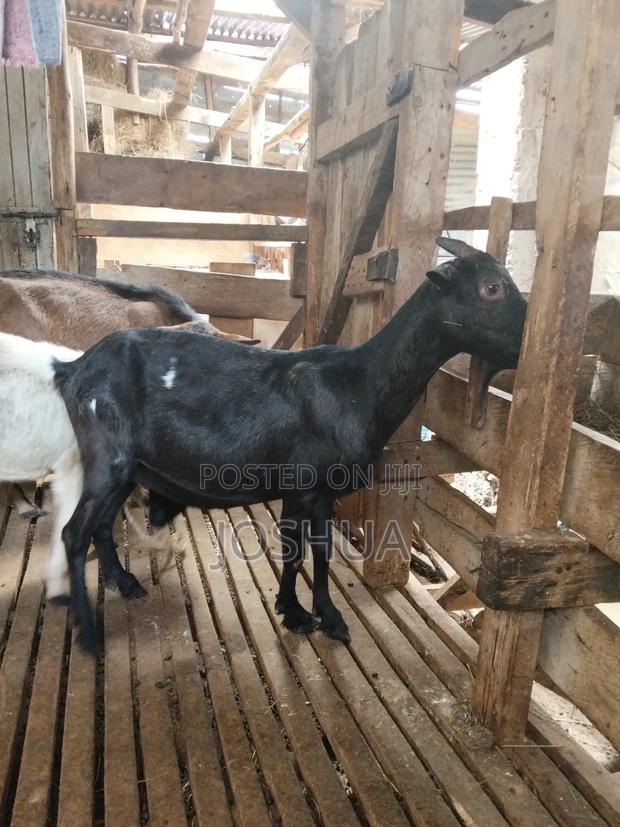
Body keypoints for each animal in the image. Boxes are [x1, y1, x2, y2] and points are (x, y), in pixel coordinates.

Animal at [33, 238, 528, 652]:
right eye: (491, 288)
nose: (525, 340)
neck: (358, 385)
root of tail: (73, 370)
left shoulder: (317, 492)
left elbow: (313, 552)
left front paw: (317, 615)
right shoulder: (304, 485)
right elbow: (301, 551)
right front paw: (304, 615)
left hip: (125, 467)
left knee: (101, 524)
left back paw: (126, 583)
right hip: (107, 455)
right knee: (75, 533)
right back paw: (89, 632)